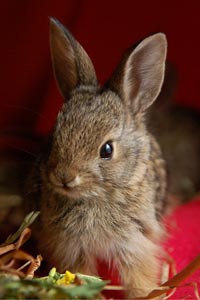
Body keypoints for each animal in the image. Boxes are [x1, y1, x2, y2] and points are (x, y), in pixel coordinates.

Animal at [26, 18, 167, 298]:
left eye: (107, 150)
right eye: (54, 135)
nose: (64, 177)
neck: (95, 197)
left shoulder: (135, 242)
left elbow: (139, 277)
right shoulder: (71, 246)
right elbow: (82, 274)